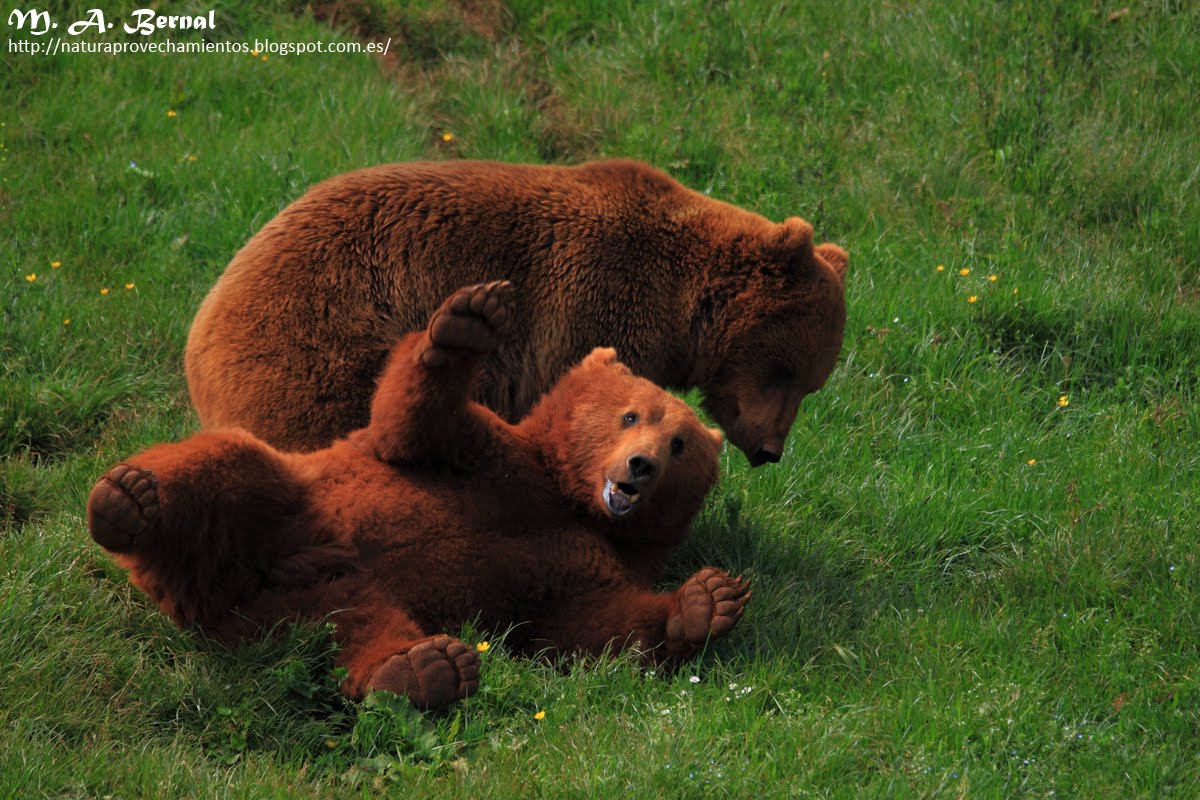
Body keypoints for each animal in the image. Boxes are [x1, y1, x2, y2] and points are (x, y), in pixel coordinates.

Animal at [89, 281, 750, 708]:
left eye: (679, 444)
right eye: (630, 414)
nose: (641, 465)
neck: (568, 498)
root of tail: (222, 601)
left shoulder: (581, 561)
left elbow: (591, 627)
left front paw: (709, 600)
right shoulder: (488, 459)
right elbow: (411, 422)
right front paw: (467, 322)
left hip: (320, 601)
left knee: (359, 629)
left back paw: (427, 668)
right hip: (296, 498)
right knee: (231, 464)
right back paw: (128, 498)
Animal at [185, 159, 849, 466]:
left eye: (811, 384)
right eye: (782, 371)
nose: (770, 448)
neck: (680, 308)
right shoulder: (594, 301)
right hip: (321, 341)